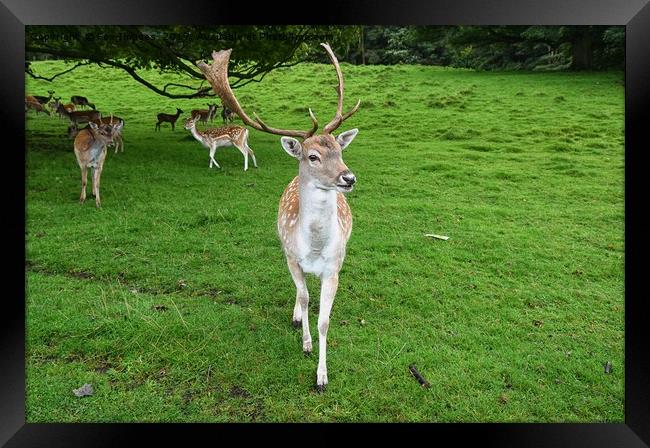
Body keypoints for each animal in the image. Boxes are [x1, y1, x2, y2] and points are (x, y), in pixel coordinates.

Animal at [197, 42, 360, 392]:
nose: (348, 178)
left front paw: (322, 376)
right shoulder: (292, 259)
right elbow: (304, 297)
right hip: (284, 250)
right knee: (300, 293)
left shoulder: (333, 268)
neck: (314, 247)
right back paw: (297, 318)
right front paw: (306, 343)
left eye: (340, 151)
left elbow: (324, 319)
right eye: (313, 156)